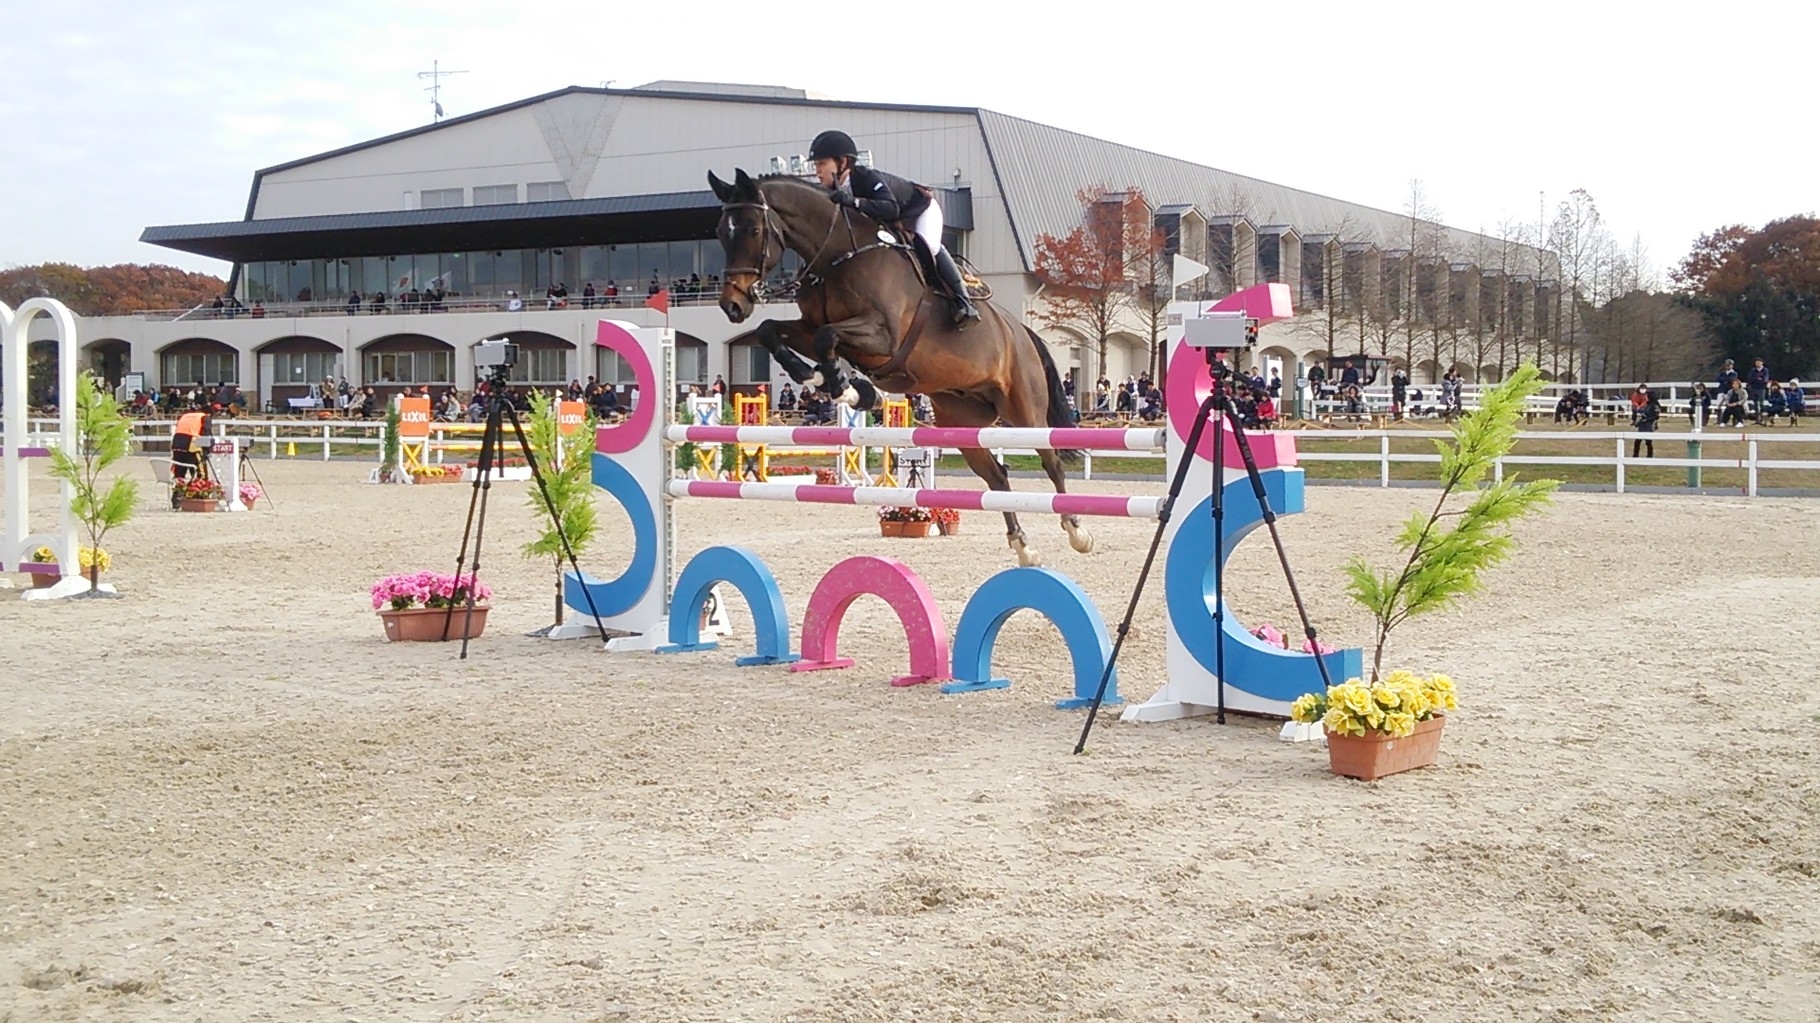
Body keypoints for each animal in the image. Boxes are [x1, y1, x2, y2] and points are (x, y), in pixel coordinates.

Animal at [702, 169, 1084, 564]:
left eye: (753, 230)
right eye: (719, 232)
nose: (732, 305)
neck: (837, 254)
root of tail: (1021, 330)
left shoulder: (884, 337)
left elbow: (826, 337)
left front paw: (847, 388)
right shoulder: (808, 328)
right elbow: (771, 330)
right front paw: (820, 377)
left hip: (1023, 409)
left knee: (1051, 461)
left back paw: (1076, 530)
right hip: (962, 419)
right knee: (996, 476)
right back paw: (1022, 545)